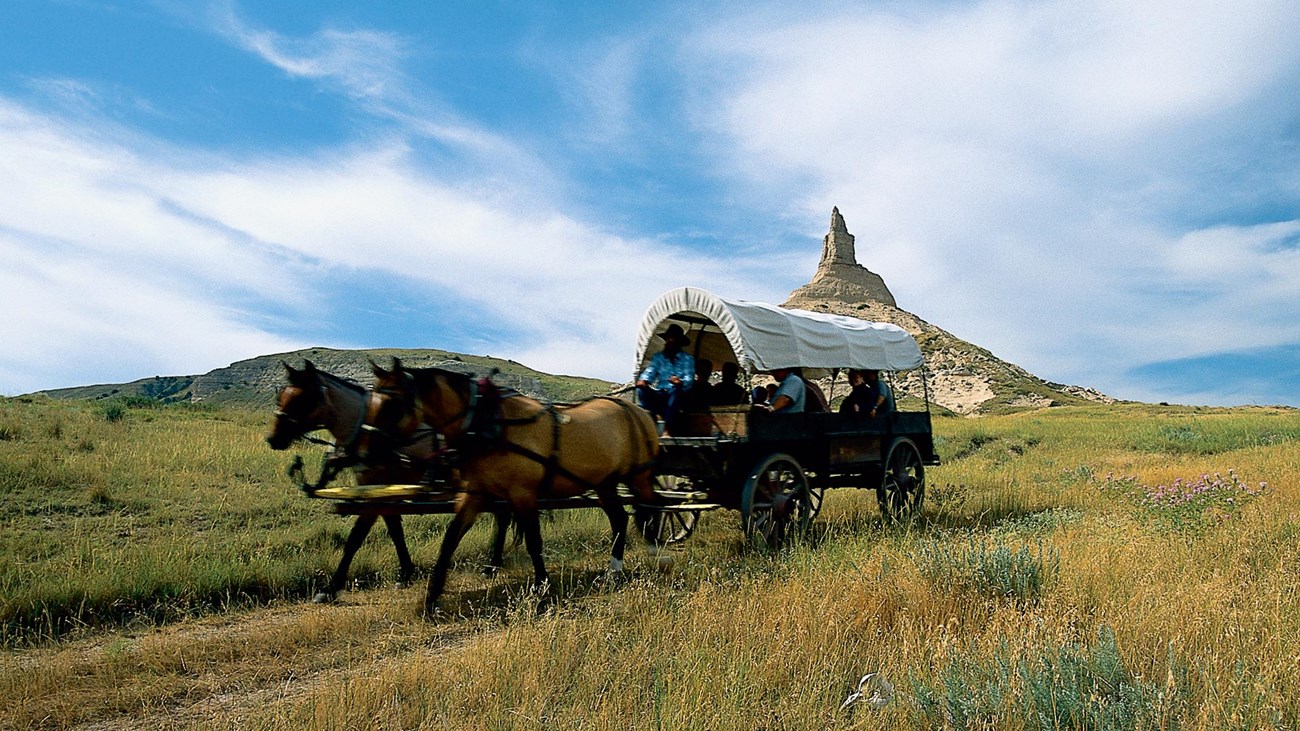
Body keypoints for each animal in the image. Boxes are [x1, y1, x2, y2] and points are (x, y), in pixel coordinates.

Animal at [266, 358, 514, 603]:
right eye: (281, 396)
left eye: (302, 399)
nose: (273, 439)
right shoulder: (380, 489)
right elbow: (394, 529)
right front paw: (406, 572)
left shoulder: (377, 494)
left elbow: (356, 538)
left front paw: (331, 587)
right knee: (502, 516)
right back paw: (493, 564)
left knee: (502, 517)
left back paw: (492, 565)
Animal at [364, 356, 660, 611]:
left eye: (393, 404)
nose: (368, 453)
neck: (488, 422)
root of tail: (638, 410)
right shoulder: (475, 494)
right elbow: (450, 540)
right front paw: (432, 596)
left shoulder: (523, 494)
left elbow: (533, 542)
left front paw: (542, 588)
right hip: (604, 484)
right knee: (620, 519)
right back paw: (614, 571)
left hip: (639, 477)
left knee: (652, 513)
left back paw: (658, 557)